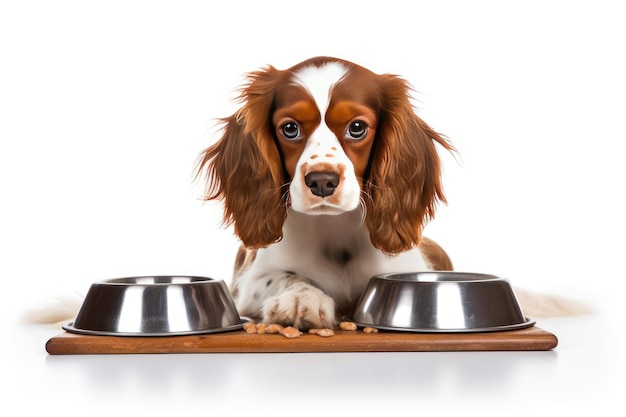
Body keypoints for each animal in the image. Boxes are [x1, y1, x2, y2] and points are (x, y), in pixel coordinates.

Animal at [195, 56, 454, 328]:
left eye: (357, 127)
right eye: (290, 128)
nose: (321, 181)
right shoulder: (250, 282)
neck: (335, 229)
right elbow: (286, 277)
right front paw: (301, 298)